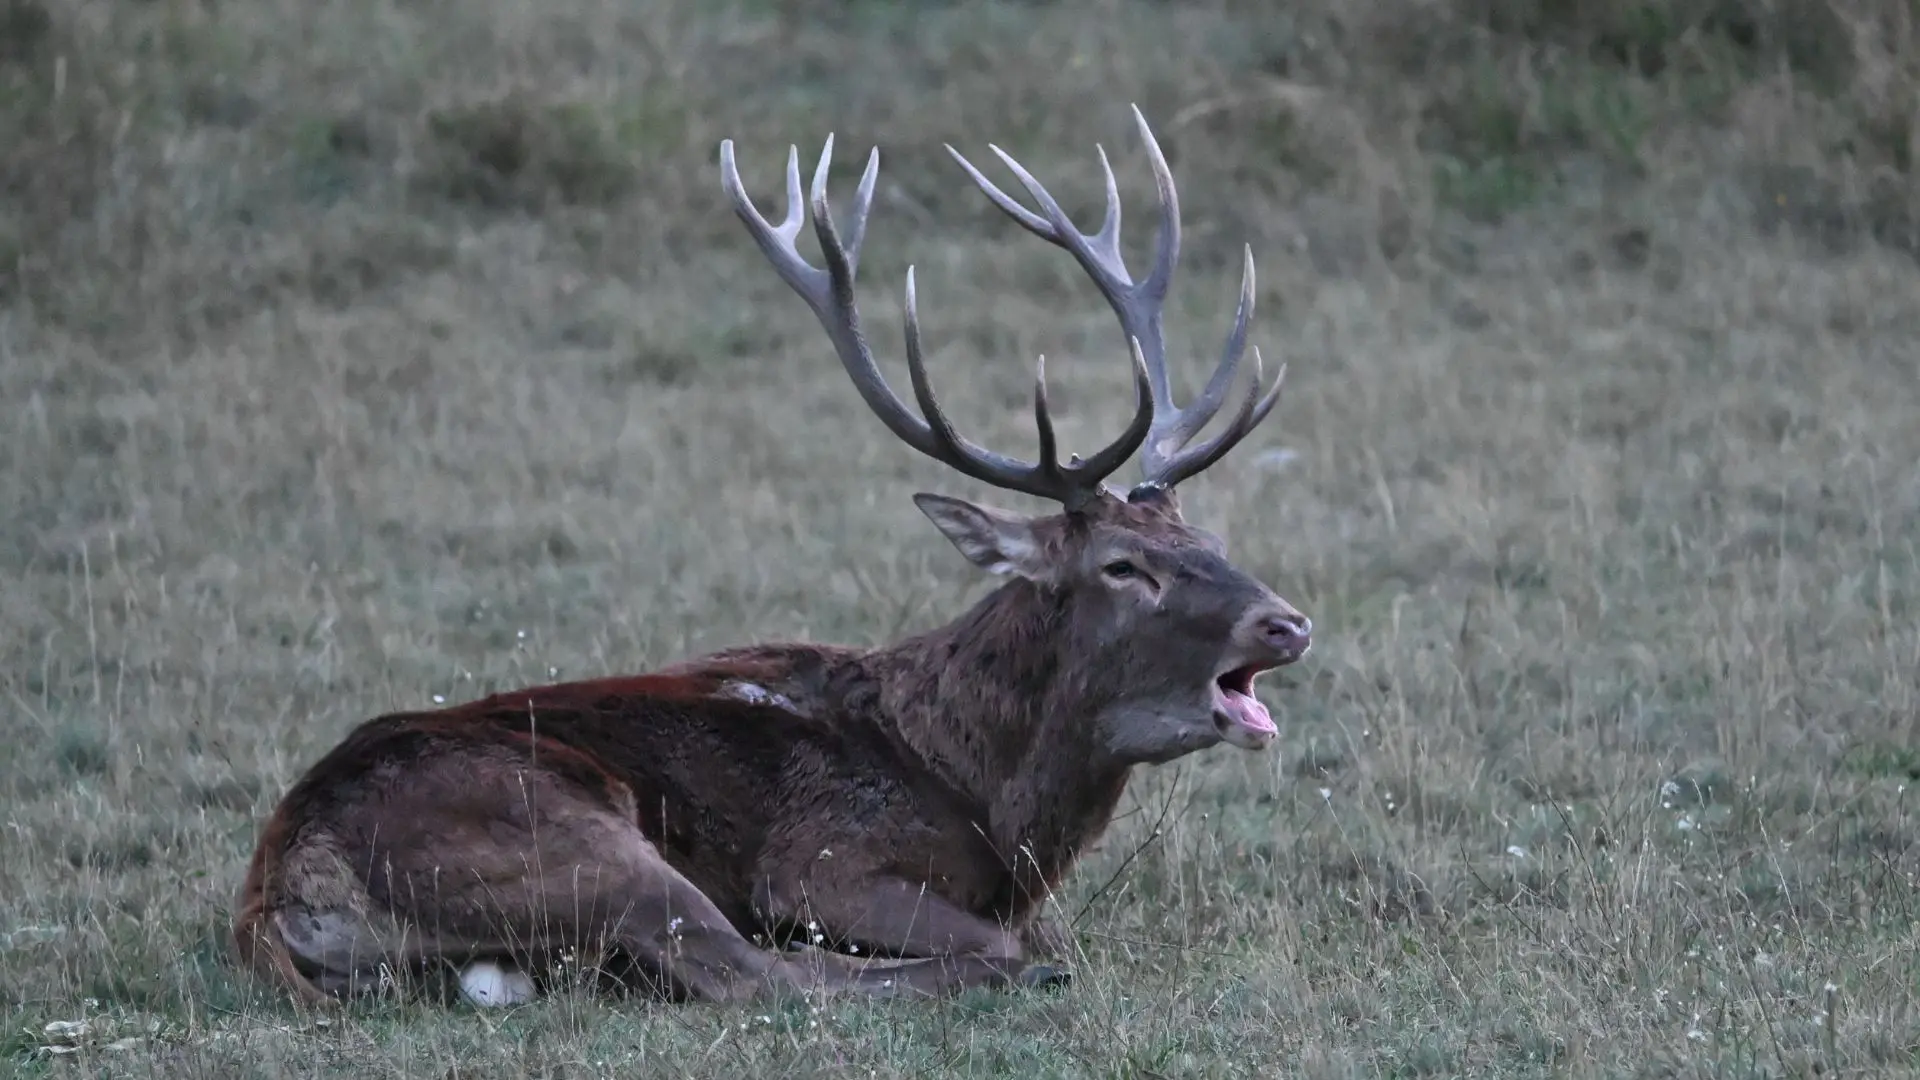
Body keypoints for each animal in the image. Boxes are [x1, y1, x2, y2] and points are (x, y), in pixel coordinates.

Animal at [231, 105, 1312, 1009]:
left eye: (1208, 540)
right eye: (1125, 567)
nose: (1286, 622)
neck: (980, 792)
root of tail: (275, 886)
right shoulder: (826, 858)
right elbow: (1019, 937)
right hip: (565, 832)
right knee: (752, 970)